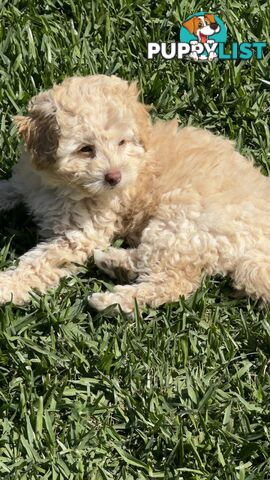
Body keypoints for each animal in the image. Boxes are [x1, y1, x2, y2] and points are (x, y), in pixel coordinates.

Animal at [0, 74, 270, 316]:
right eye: (85, 149)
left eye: (122, 142)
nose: (114, 177)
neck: (61, 184)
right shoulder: (25, 181)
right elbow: (10, 189)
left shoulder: (79, 234)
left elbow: (41, 263)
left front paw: (7, 286)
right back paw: (113, 260)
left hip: (181, 221)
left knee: (172, 281)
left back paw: (111, 301)